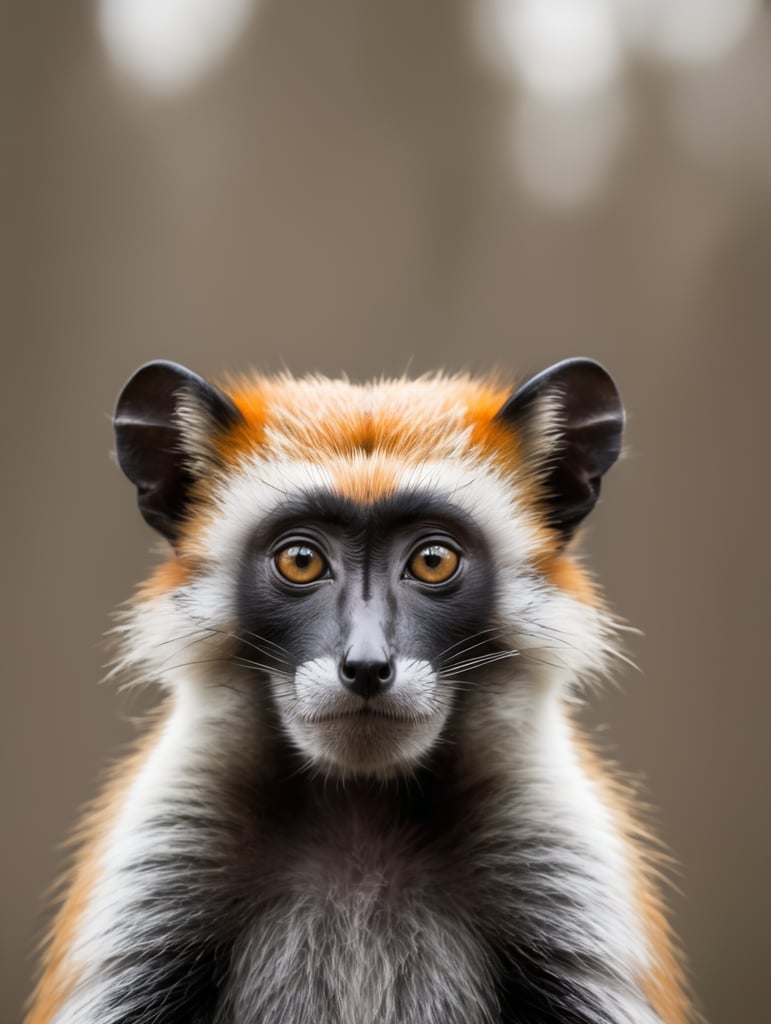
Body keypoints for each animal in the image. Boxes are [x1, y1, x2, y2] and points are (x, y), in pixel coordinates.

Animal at [26, 358, 694, 1024]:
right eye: (300, 561)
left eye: (432, 561)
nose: (368, 666)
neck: (362, 802)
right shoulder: (163, 852)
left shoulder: (558, 852)